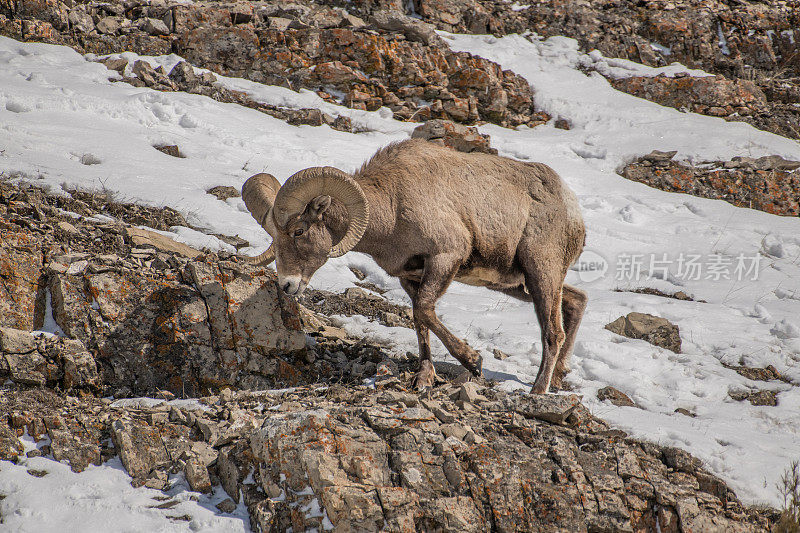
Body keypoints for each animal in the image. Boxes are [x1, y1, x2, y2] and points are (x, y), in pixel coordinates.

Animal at [244, 139, 588, 392]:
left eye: (299, 231)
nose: (287, 284)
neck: (392, 207)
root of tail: (572, 207)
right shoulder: (410, 277)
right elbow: (420, 319)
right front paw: (424, 378)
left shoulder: (445, 257)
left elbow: (424, 311)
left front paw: (473, 362)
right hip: (519, 284)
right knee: (576, 301)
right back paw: (559, 379)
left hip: (541, 273)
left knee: (553, 333)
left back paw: (538, 391)